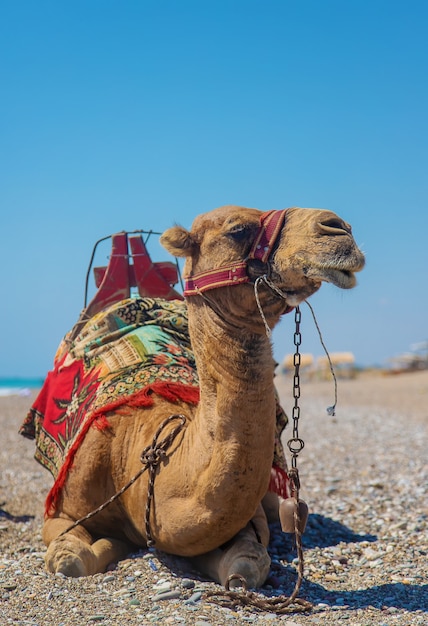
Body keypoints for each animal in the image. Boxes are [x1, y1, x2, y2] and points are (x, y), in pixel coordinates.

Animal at [20, 204, 364, 584]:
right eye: (237, 229)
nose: (338, 227)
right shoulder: (62, 513)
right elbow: (70, 560)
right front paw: (110, 543)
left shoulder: (247, 522)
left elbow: (247, 564)